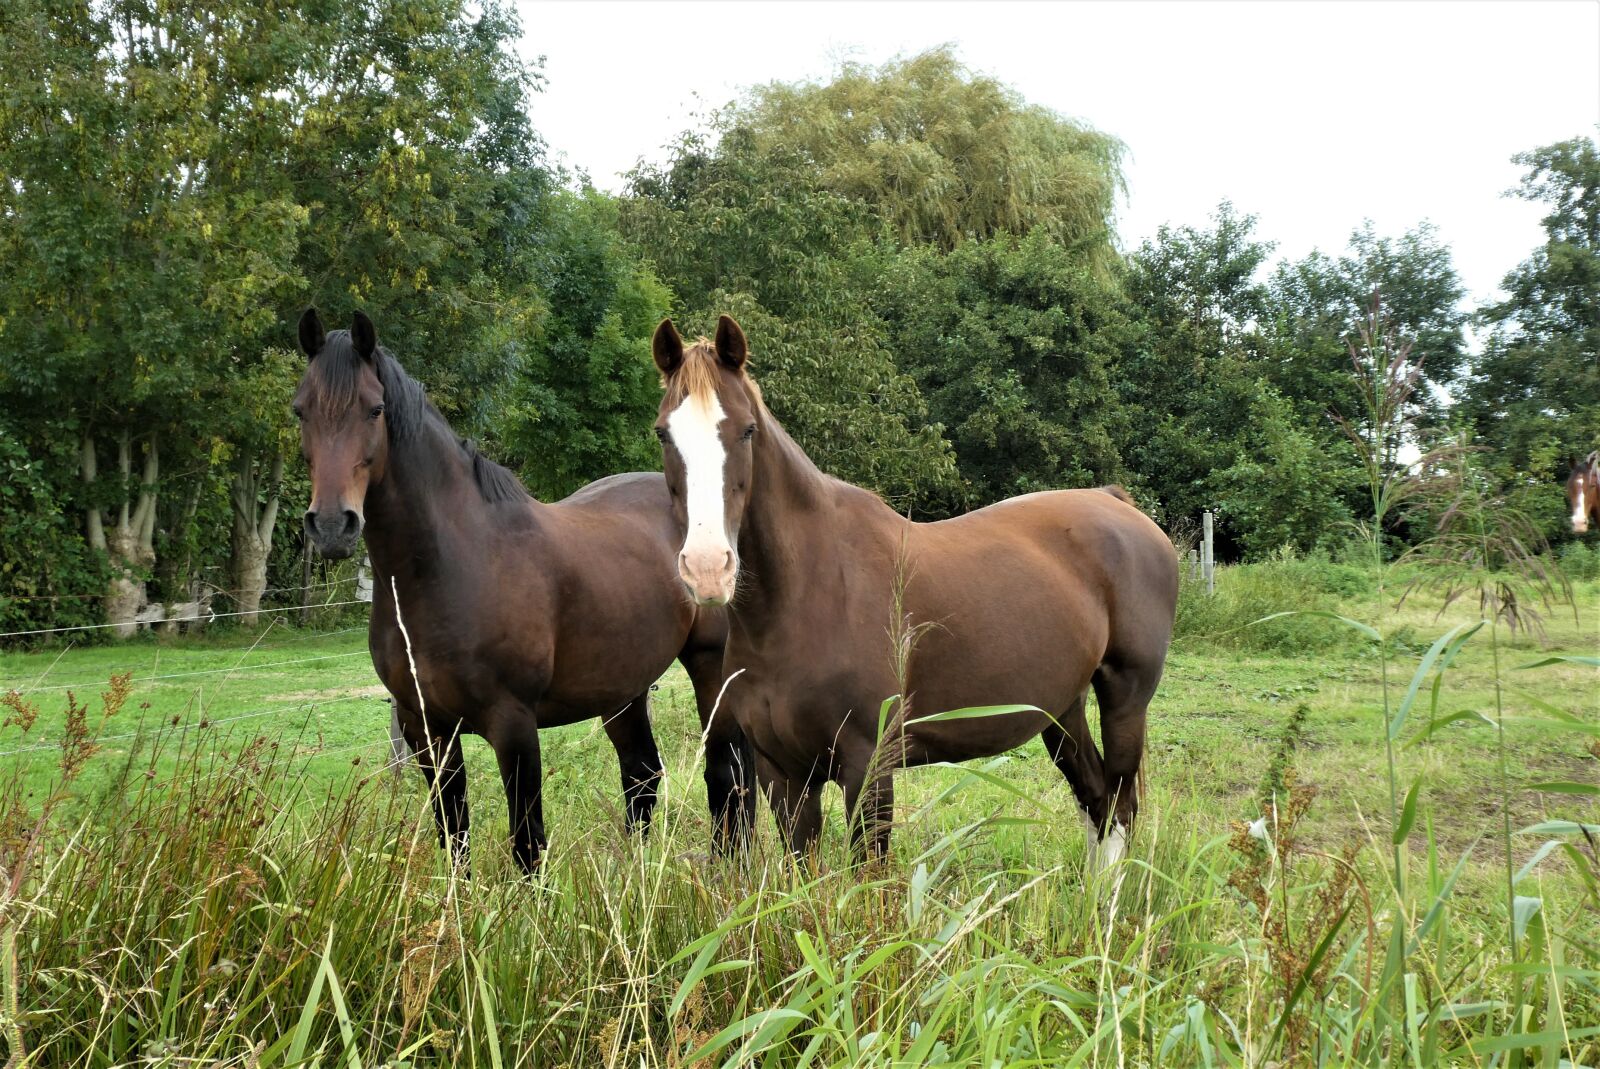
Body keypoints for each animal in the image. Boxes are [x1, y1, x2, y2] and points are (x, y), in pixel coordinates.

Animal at [293, 308, 755, 874]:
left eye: (374, 409)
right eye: (300, 411)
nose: (331, 525)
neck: (451, 566)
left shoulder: (512, 725)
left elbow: (527, 844)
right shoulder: (426, 730)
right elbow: (454, 835)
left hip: (711, 667)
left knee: (727, 772)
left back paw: (729, 869)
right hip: (622, 688)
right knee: (642, 774)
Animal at [648, 315, 1179, 874]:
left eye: (746, 430)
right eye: (664, 433)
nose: (708, 568)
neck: (807, 596)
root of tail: (1116, 503)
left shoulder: (868, 765)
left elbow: (868, 876)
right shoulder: (783, 773)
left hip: (1125, 698)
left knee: (1120, 805)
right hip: (1062, 707)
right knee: (1097, 801)